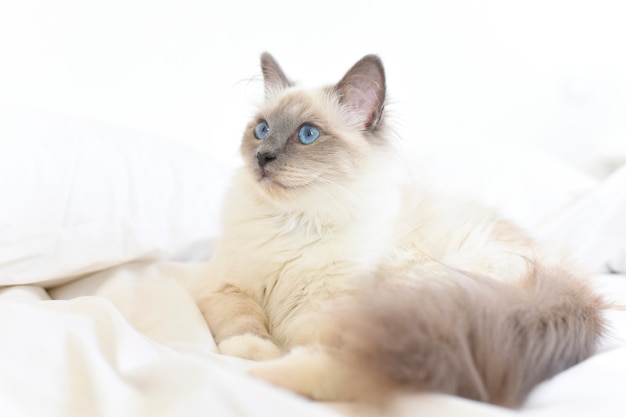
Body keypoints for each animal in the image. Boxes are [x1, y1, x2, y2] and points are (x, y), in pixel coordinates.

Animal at [195, 52, 604, 406]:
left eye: (307, 135)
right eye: (261, 130)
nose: (262, 157)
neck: (293, 222)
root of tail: (572, 292)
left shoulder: (325, 311)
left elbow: (312, 343)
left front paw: (263, 358)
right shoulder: (225, 286)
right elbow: (243, 321)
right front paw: (255, 350)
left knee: (356, 372)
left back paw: (270, 377)